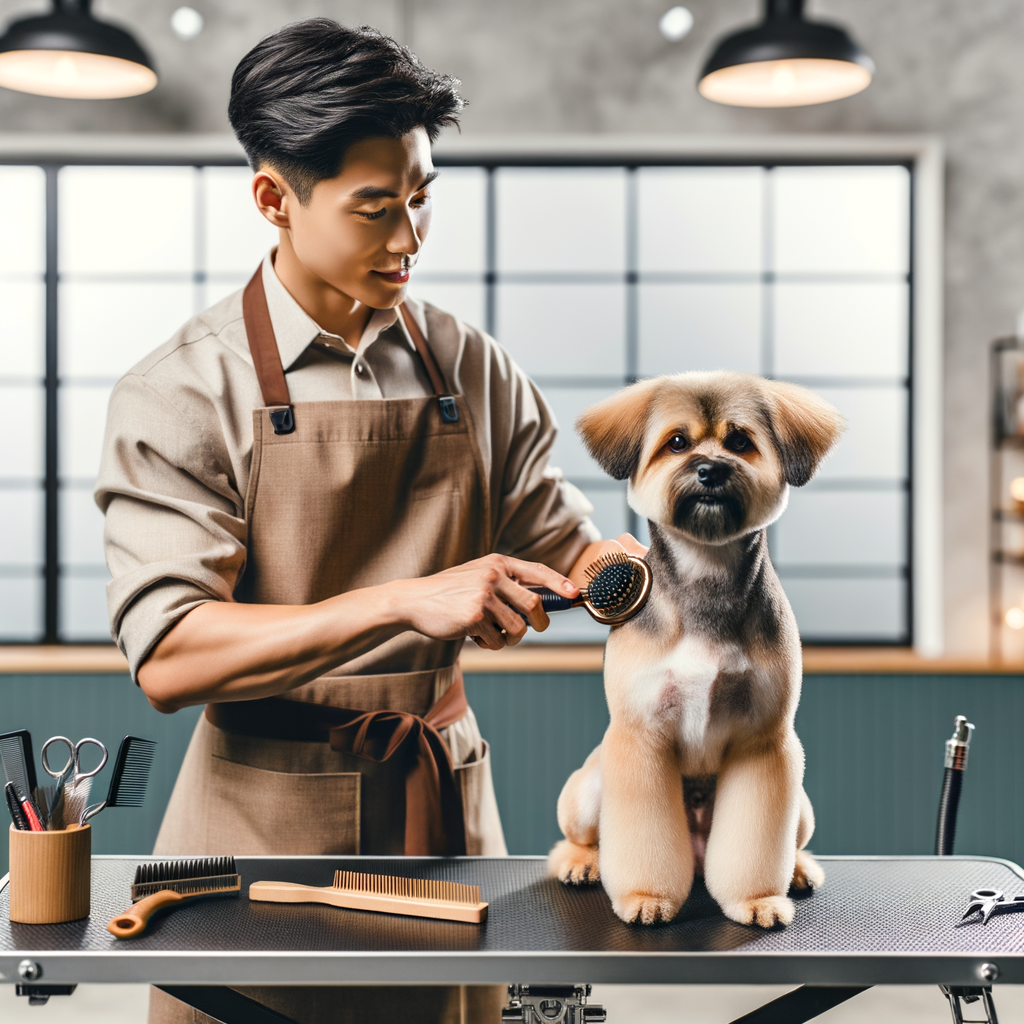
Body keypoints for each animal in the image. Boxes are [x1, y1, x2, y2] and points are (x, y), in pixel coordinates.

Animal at [548, 374, 843, 929]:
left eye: (740, 441)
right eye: (678, 442)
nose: (710, 469)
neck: (706, 574)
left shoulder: (763, 743)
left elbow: (757, 838)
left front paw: (757, 899)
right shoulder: (639, 736)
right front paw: (644, 896)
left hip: (802, 805)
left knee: (789, 840)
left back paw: (796, 869)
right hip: (590, 787)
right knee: (576, 837)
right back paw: (582, 862)